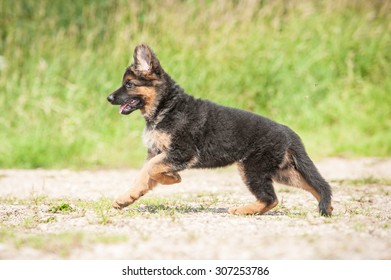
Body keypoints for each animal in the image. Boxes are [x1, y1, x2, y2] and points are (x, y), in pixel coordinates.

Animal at [107, 43, 334, 215]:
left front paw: (172, 179)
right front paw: (127, 198)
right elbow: (143, 175)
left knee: (271, 198)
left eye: (129, 85)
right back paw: (328, 206)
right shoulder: (157, 152)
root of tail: (287, 131)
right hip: (281, 171)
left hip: (253, 168)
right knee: (316, 186)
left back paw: (243, 210)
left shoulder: (181, 152)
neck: (166, 107)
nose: (108, 98)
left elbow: (152, 169)